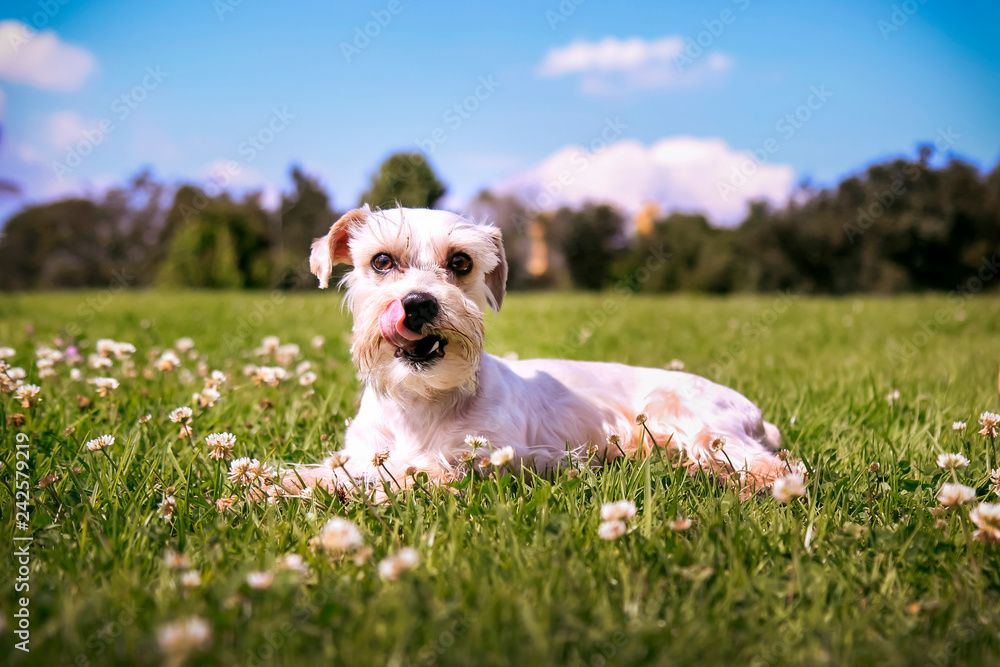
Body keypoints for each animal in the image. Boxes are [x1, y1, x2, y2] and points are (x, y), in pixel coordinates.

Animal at [296, 206, 788, 498]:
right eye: (381, 261)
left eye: (460, 262)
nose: (418, 304)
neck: (421, 401)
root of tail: (755, 413)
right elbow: (333, 472)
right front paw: (287, 484)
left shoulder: (499, 456)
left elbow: (420, 469)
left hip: (685, 415)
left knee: (781, 469)